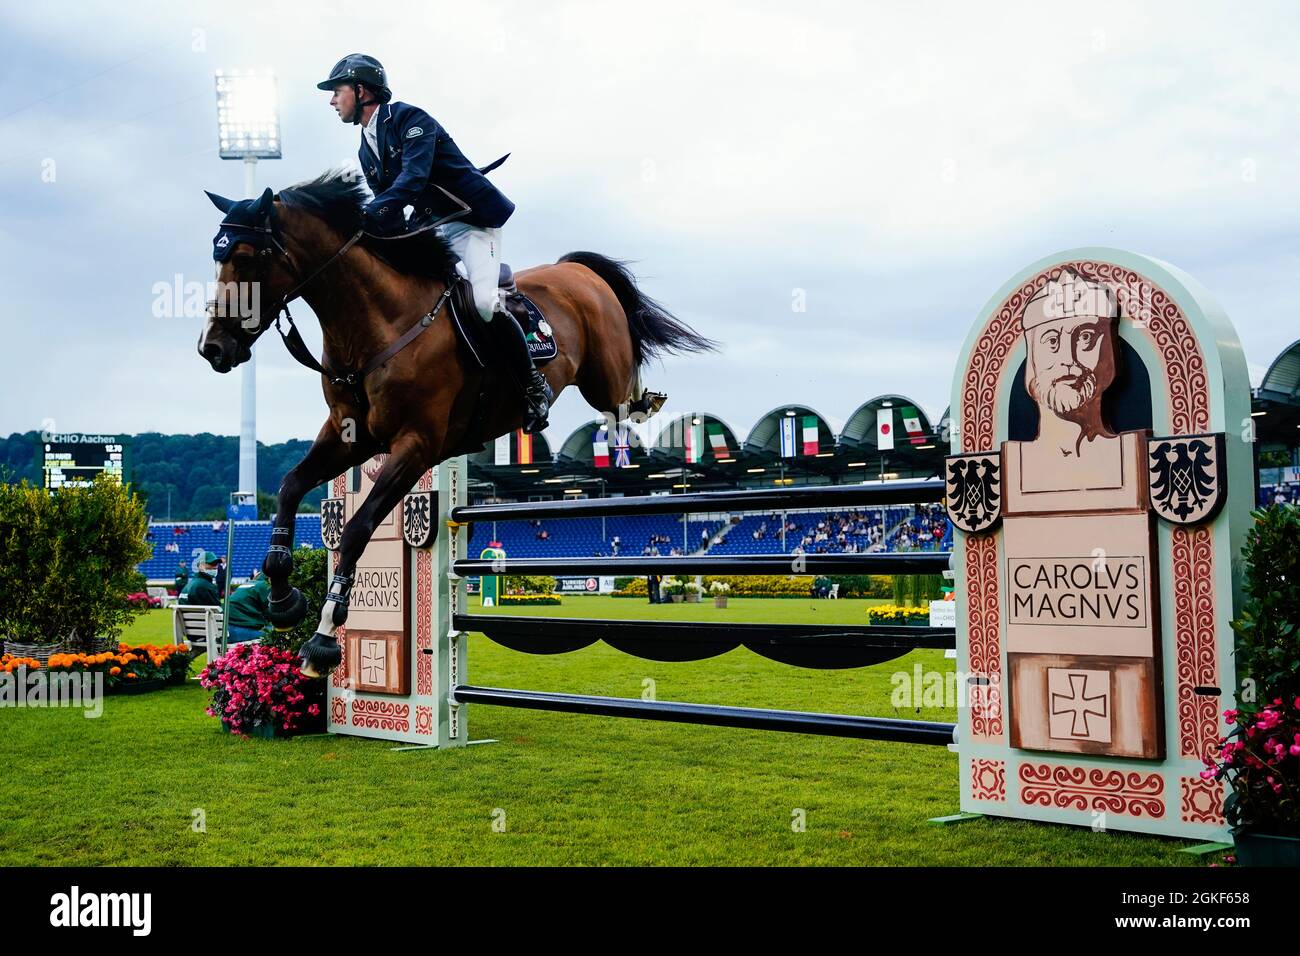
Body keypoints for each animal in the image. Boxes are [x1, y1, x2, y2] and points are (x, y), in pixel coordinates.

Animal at [197, 174, 717, 681]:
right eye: (217, 256)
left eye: (246, 257)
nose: (213, 348)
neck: (377, 326)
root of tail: (576, 270)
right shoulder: (350, 437)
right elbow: (290, 487)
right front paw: (283, 598)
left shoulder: (416, 445)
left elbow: (358, 528)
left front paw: (323, 637)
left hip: (603, 380)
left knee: (625, 399)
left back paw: (647, 403)